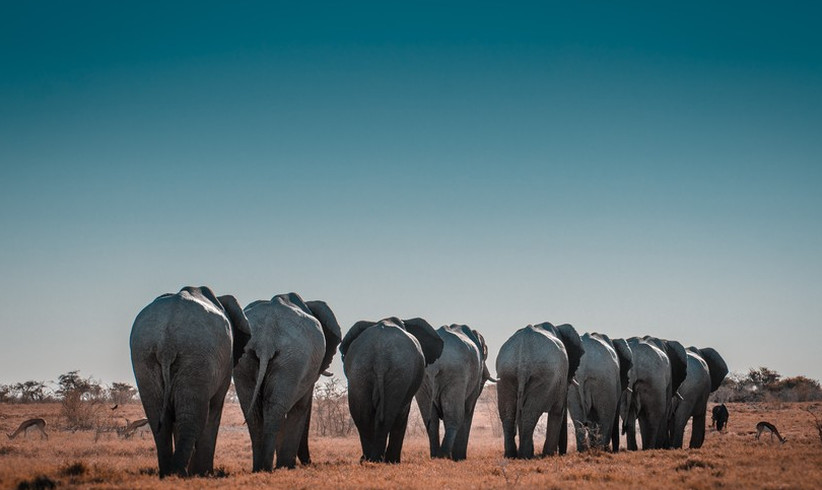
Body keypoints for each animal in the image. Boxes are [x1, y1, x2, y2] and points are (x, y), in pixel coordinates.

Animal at [129, 286, 249, 476]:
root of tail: (167, 343)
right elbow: (214, 409)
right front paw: (205, 473)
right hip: (197, 356)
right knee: (194, 416)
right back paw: (180, 473)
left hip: (143, 355)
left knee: (158, 418)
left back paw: (168, 473)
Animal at [233, 292, 342, 472]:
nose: (310, 463)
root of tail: (266, 339)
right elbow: (301, 407)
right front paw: (288, 466)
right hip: (293, 359)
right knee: (277, 409)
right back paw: (271, 468)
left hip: (246, 359)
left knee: (254, 411)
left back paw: (259, 468)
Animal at [340, 316, 444, 462]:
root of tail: (380, 358)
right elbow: (403, 413)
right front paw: (393, 461)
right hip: (399, 372)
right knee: (388, 415)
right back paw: (380, 459)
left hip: (360, 371)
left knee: (362, 415)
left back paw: (368, 459)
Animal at [416, 326, 492, 460]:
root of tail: (434, 364)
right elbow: (468, 410)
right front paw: (460, 457)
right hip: (456, 373)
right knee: (455, 416)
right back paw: (445, 455)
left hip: (423, 380)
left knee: (431, 420)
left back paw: (435, 456)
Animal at [496, 322, 584, 460]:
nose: (562, 453)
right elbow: (558, 411)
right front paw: (549, 454)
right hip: (544, 375)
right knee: (530, 413)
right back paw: (525, 455)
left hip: (506, 373)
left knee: (508, 413)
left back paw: (511, 455)